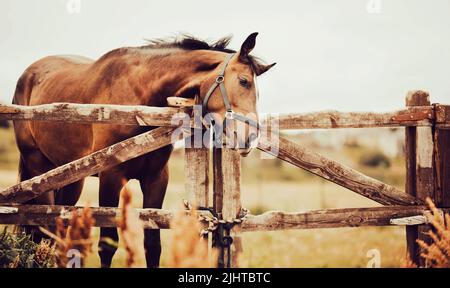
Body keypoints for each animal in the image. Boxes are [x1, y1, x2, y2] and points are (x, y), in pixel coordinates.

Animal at [12, 32, 276, 266]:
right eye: (243, 81)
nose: (250, 137)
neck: (140, 97)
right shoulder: (110, 178)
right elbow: (107, 245)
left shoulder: (156, 179)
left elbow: (153, 245)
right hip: (39, 171)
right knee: (43, 230)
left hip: (70, 177)